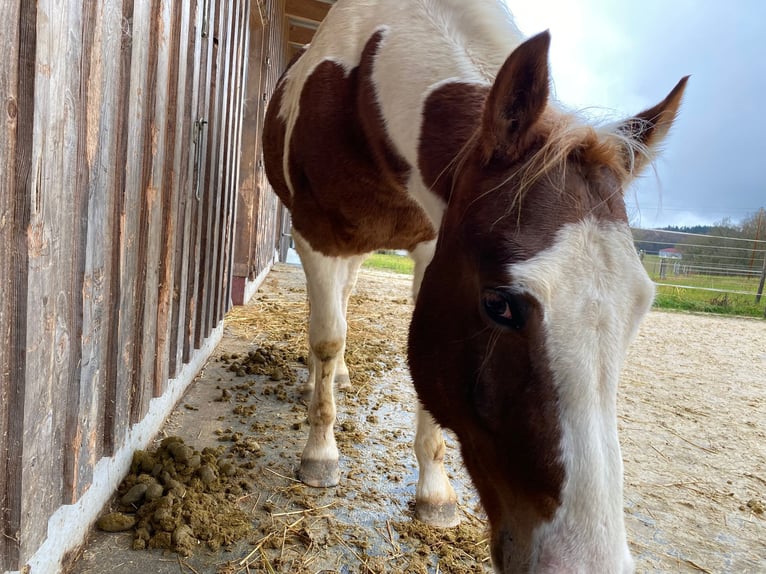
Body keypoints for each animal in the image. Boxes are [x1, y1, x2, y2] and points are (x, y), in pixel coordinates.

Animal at [264, 2, 688, 572]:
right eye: (499, 305)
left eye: (640, 309)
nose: (584, 560)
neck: (361, 87)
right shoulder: (316, 236)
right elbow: (327, 338)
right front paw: (319, 456)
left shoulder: (432, 249)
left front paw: (435, 493)